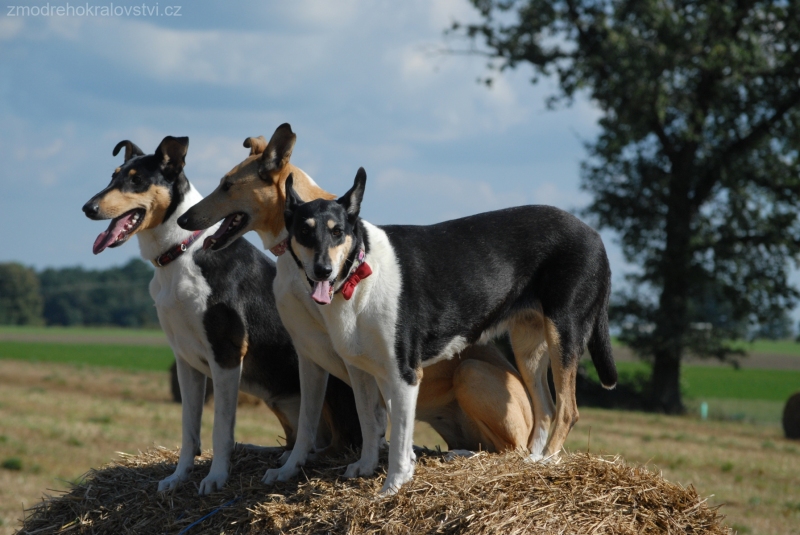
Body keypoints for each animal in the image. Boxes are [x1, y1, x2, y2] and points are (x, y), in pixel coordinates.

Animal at [81, 136, 360, 496]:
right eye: (113, 176)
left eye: (136, 180)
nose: (88, 208)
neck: (179, 254)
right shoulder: (185, 360)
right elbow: (189, 429)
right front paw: (178, 477)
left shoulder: (226, 356)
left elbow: (220, 429)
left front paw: (215, 478)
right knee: (301, 440)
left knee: (336, 443)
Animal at [266, 170, 616, 496]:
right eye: (304, 232)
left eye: (337, 232)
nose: (322, 270)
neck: (359, 275)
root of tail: (595, 235)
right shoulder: (362, 371)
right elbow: (369, 420)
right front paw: (365, 467)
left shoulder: (405, 374)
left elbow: (399, 438)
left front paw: (392, 486)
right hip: (528, 347)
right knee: (545, 410)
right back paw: (529, 461)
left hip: (560, 335)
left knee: (567, 411)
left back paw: (543, 461)